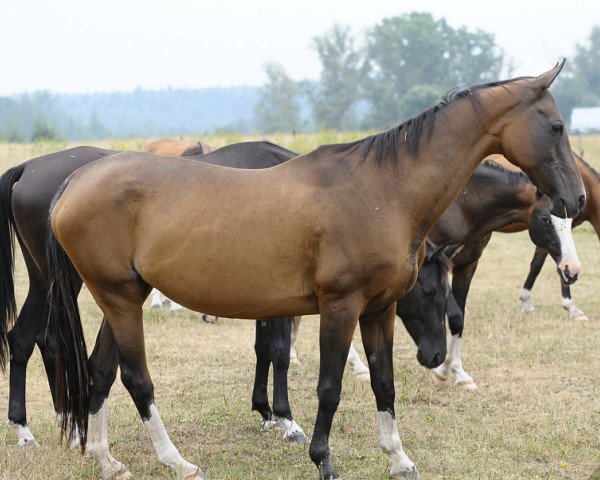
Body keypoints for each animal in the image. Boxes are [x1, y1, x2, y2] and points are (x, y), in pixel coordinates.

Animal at [48, 63, 584, 480]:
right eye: (557, 127)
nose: (576, 199)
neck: (383, 189)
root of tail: (75, 180)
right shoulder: (340, 307)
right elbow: (329, 387)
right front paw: (322, 459)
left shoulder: (379, 310)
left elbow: (383, 382)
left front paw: (399, 458)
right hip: (120, 298)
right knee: (137, 378)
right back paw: (176, 461)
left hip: (123, 297)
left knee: (101, 371)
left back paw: (107, 459)